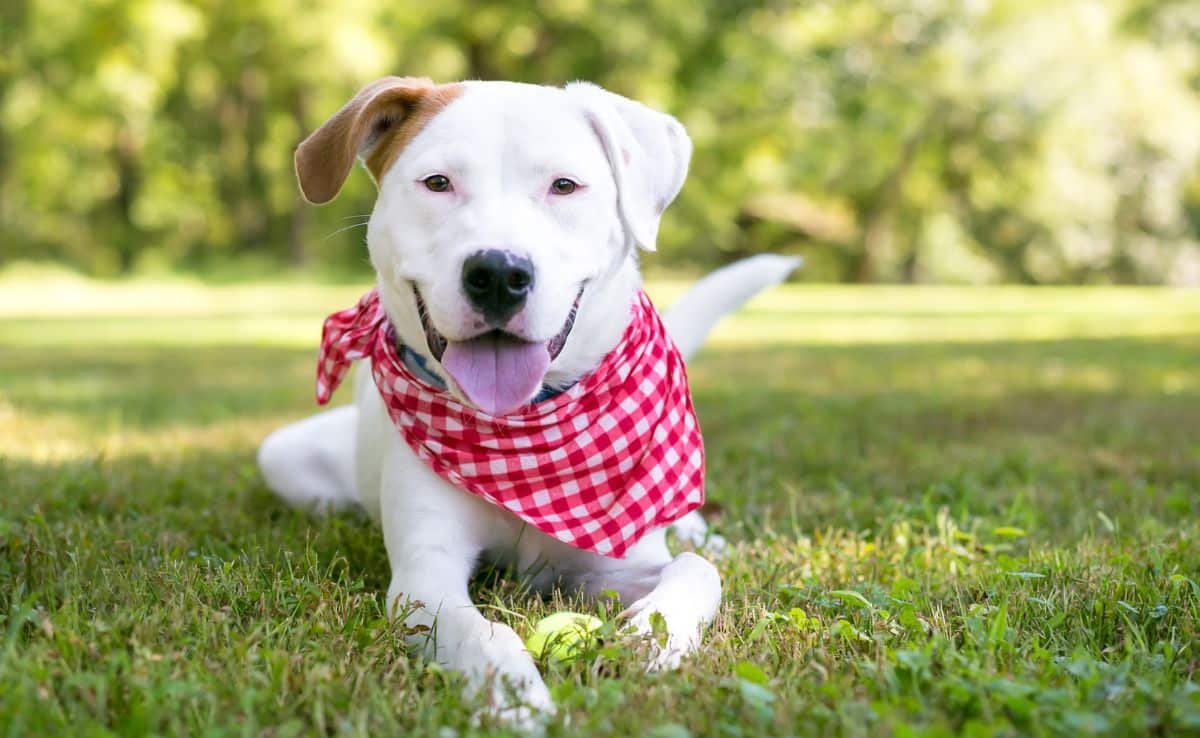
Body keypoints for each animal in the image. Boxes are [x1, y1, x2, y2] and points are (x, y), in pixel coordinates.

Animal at [256, 78, 796, 724]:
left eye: (563, 185)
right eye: (437, 182)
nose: (497, 273)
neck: (521, 432)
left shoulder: (618, 559)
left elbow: (699, 572)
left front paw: (653, 636)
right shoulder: (426, 576)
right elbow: (478, 631)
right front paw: (512, 695)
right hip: (281, 453)